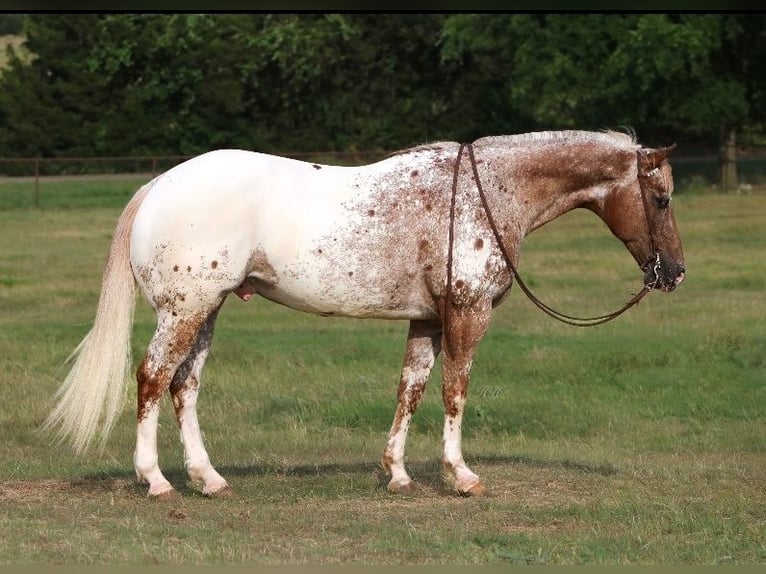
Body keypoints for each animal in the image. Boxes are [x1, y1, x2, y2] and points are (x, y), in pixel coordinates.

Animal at [45, 130, 688, 500]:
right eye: (661, 198)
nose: (675, 272)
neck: (482, 193)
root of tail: (158, 185)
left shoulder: (427, 321)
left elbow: (411, 390)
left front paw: (396, 473)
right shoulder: (466, 314)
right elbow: (455, 390)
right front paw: (460, 475)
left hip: (205, 311)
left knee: (185, 387)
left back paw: (208, 480)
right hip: (185, 310)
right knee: (153, 378)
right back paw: (155, 482)